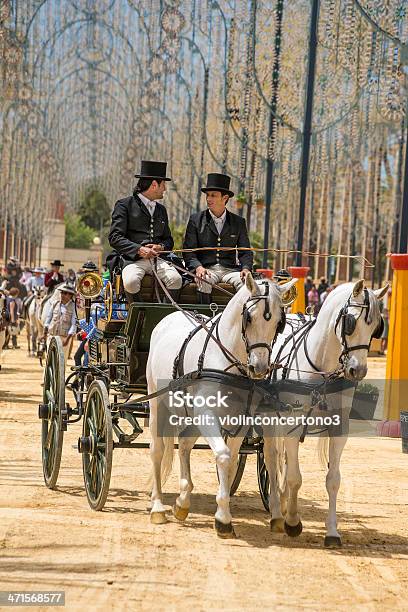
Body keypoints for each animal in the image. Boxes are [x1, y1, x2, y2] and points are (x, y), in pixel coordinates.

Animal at [147, 272, 296, 536]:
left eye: (280, 322)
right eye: (249, 317)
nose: (259, 367)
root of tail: (169, 317)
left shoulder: (240, 419)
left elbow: (232, 459)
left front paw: (221, 513)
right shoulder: (206, 414)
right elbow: (224, 456)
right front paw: (224, 519)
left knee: (184, 444)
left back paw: (182, 502)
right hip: (158, 403)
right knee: (157, 450)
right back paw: (157, 507)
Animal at [249, 280, 388, 548]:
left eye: (376, 326)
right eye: (351, 321)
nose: (358, 371)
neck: (321, 367)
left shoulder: (339, 429)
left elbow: (333, 480)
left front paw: (332, 532)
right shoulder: (292, 425)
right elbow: (294, 477)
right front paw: (293, 522)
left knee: (282, 461)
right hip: (270, 420)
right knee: (271, 459)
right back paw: (277, 514)